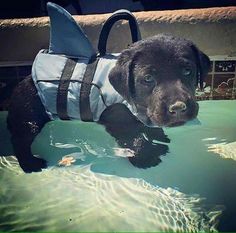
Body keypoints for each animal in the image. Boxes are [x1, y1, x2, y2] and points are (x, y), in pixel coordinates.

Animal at [6, 35, 210, 173]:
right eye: (148, 78)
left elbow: (146, 126)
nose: (178, 108)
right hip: (28, 117)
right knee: (19, 140)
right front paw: (145, 157)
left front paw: (158, 136)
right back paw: (30, 164)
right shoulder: (117, 119)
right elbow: (133, 137)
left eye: (187, 71)